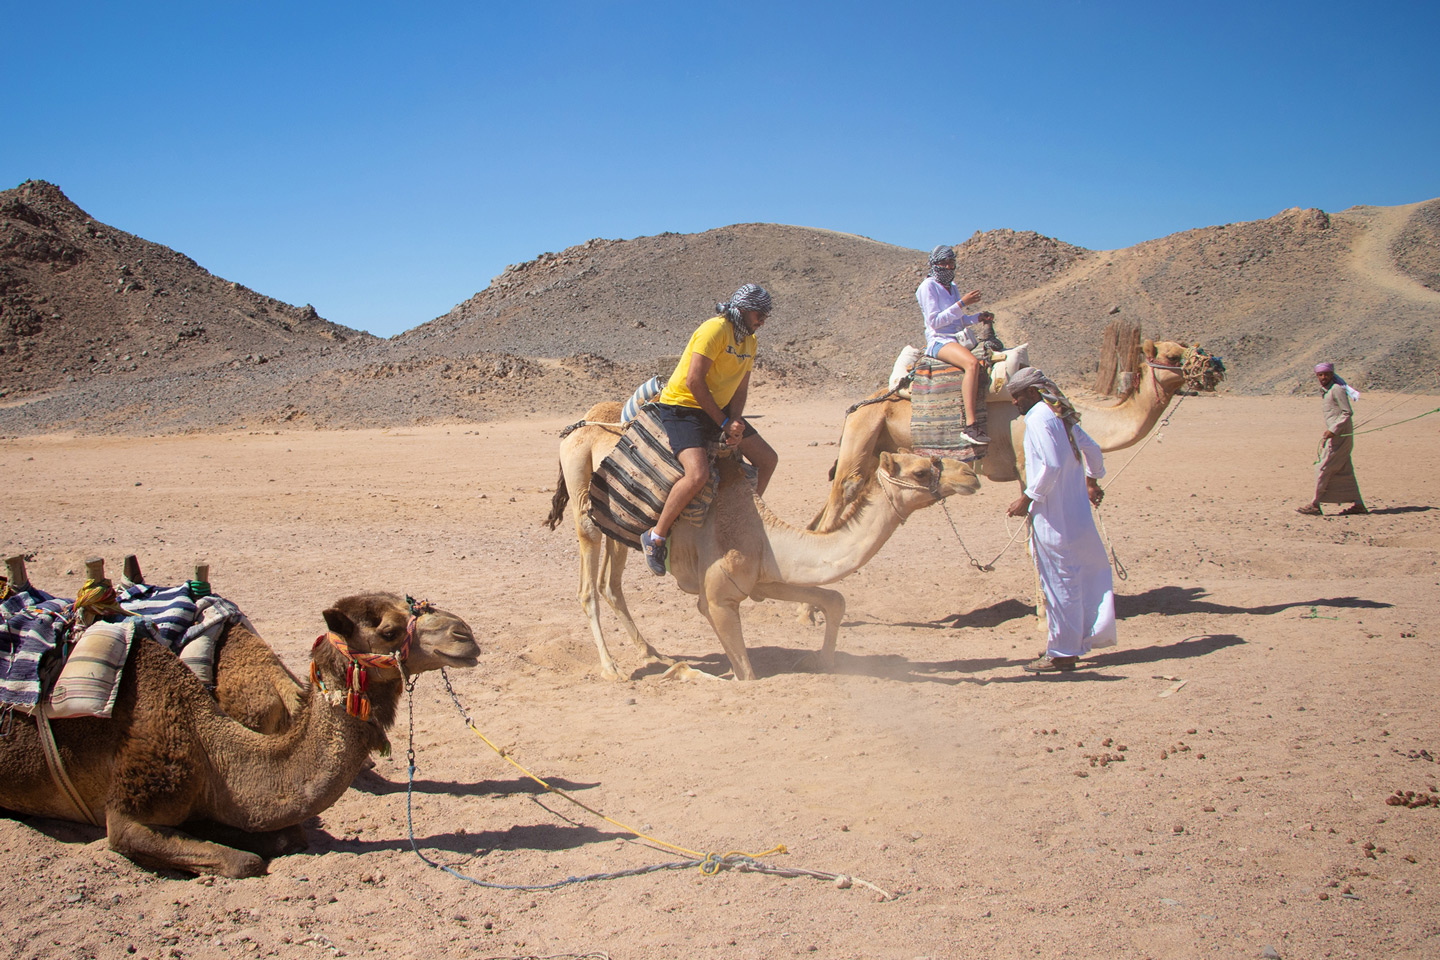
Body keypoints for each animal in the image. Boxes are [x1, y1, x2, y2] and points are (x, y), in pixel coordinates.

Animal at [0, 592, 483, 880]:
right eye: (388, 630)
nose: (465, 635)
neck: (207, 746)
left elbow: (288, 835)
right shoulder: (127, 811)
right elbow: (245, 862)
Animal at [541, 402, 979, 679]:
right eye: (920, 470)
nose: (970, 475)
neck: (767, 533)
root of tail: (578, 425)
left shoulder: (767, 580)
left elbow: (834, 600)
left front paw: (820, 661)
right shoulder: (716, 596)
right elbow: (746, 675)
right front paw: (686, 672)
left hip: (617, 526)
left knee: (610, 585)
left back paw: (651, 651)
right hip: (583, 498)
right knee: (588, 588)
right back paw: (613, 669)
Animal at [806, 338, 1221, 532]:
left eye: (1184, 348)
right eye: (1171, 356)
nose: (1215, 367)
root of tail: (868, 401)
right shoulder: (1026, 462)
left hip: (882, 445)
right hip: (863, 431)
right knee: (843, 491)